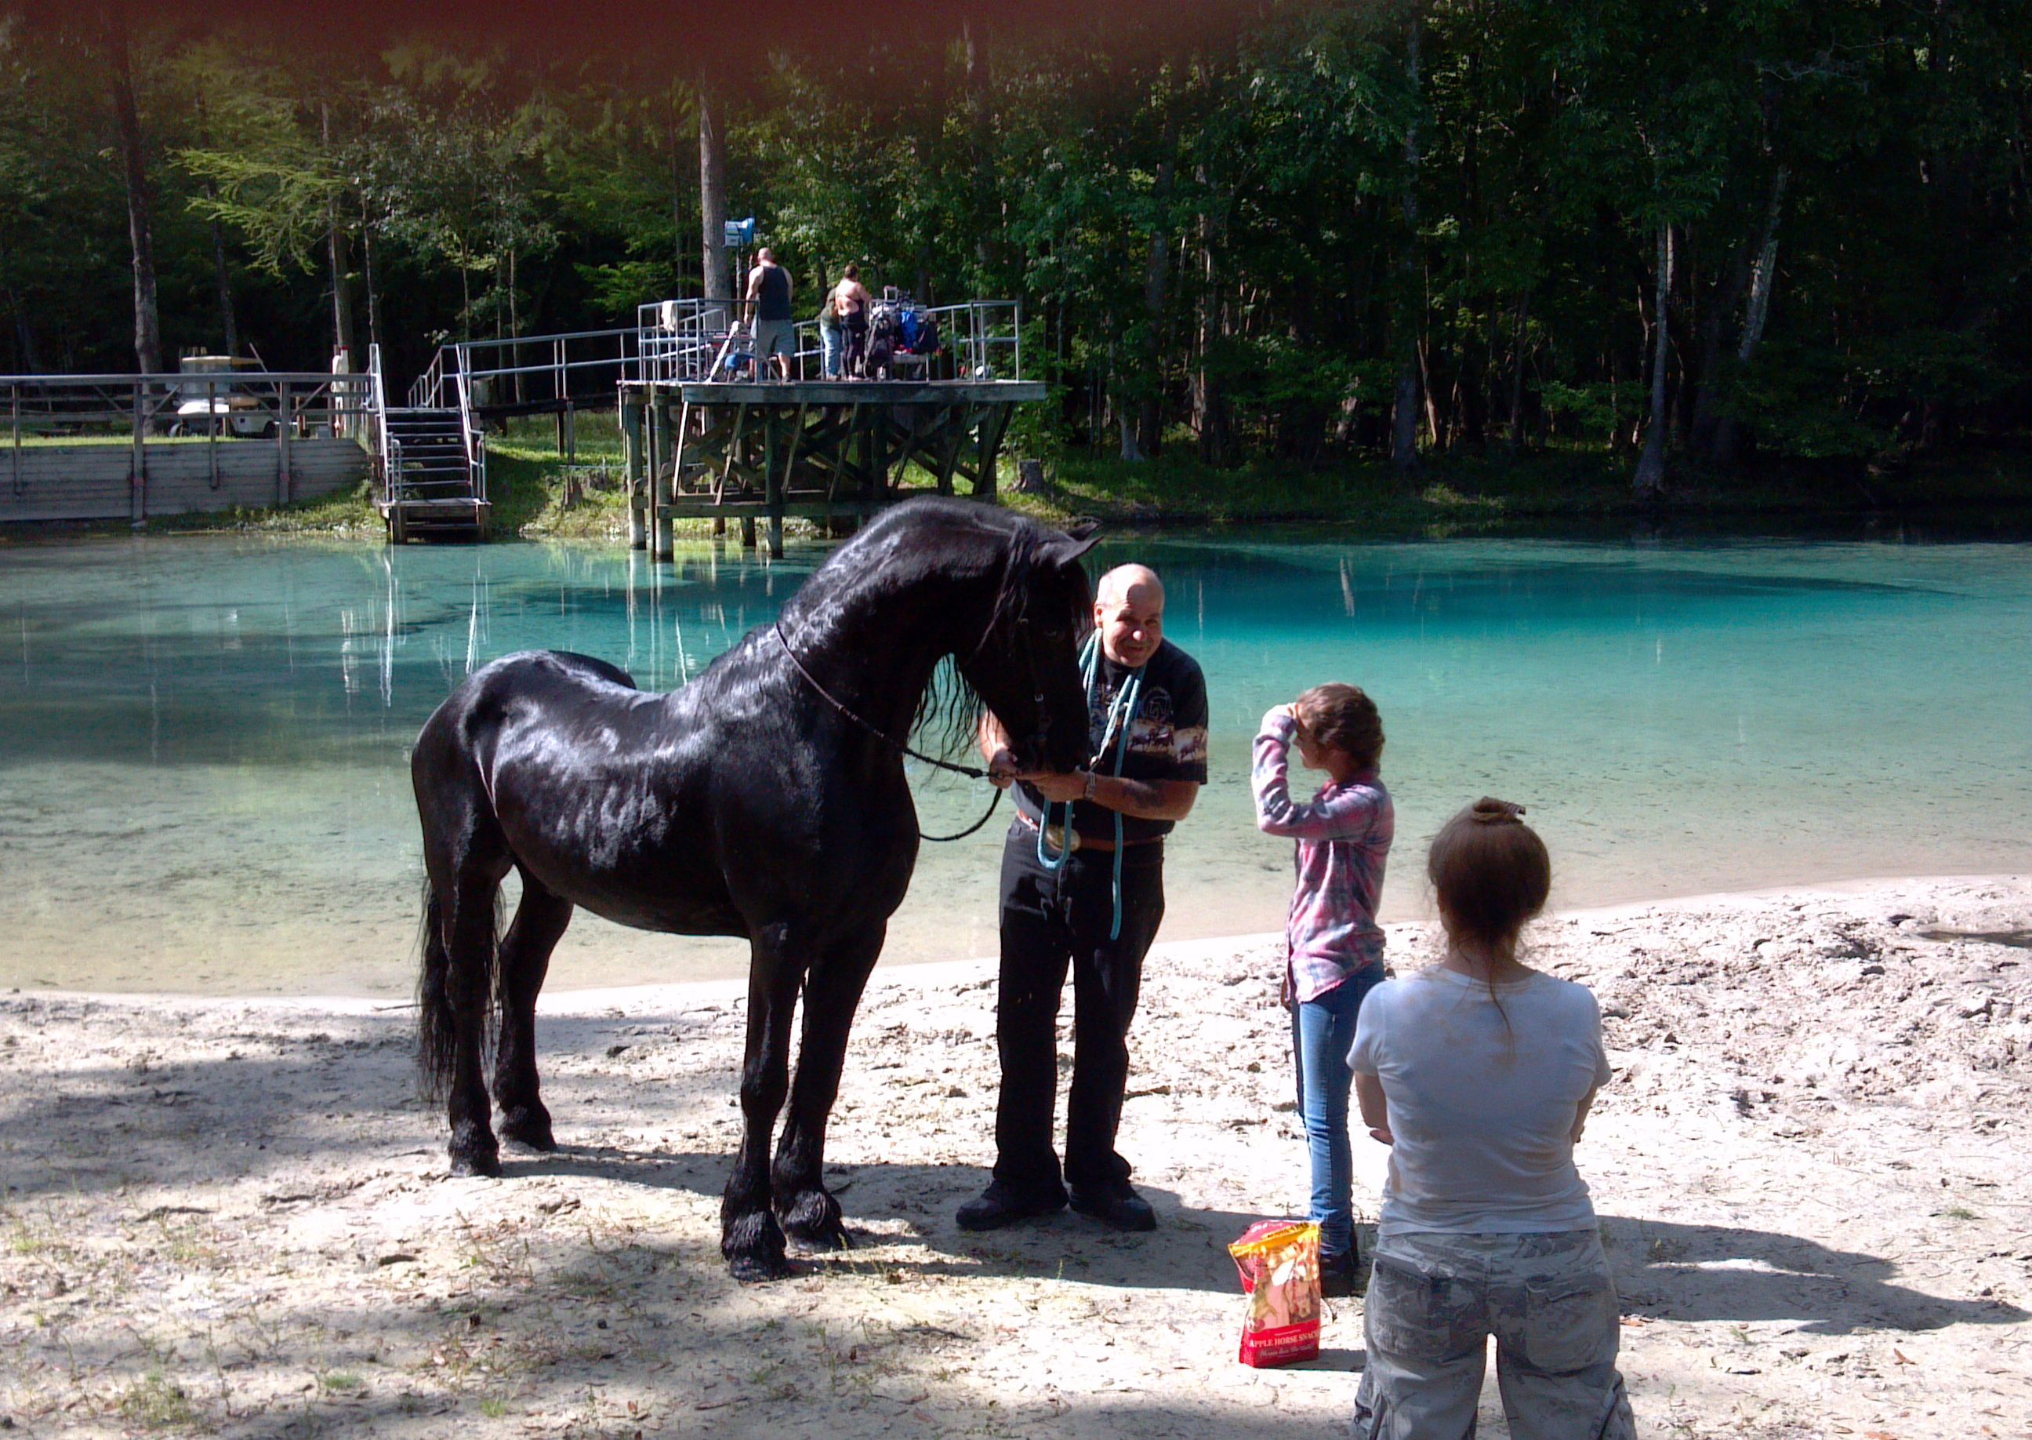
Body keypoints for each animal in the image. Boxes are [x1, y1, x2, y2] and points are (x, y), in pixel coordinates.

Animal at [410, 497, 1099, 1281]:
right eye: (1047, 625)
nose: (1075, 756)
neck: (809, 728)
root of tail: (464, 699)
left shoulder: (856, 939)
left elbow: (821, 1070)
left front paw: (809, 1210)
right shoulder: (778, 937)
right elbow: (764, 1078)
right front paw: (750, 1232)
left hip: (550, 884)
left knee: (520, 974)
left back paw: (525, 1118)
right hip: (466, 873)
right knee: (468, 990)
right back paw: (473, 1142)